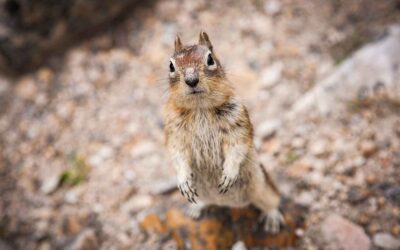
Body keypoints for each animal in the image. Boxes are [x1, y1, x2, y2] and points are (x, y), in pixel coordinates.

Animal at [162, 32, 284, 233]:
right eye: (171, 65)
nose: (191, 80)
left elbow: (237, 147)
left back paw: (272, 219)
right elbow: (177, 154)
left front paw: (228, 174)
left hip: (263, 188)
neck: (200, 108)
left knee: (272, 201)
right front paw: (184, 181)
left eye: (210, 59)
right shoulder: (174, 132)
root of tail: (228, 204)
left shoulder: (237, 123)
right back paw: (196, 208)